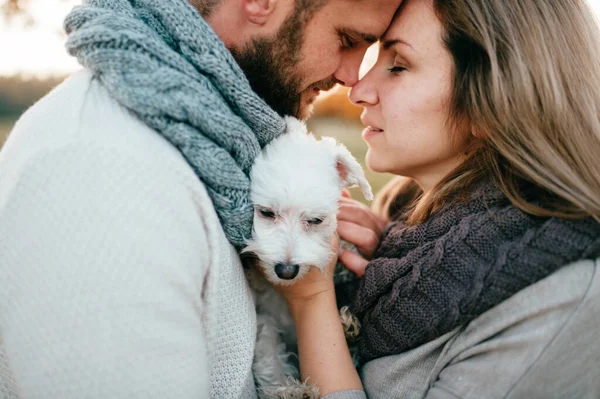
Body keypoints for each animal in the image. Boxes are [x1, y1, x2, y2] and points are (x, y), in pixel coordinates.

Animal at [241, 117, 372, 399]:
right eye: (266, 213)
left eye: (315, 220)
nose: (286, 270)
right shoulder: (265, 322)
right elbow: (268, 357)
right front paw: (288, 389)